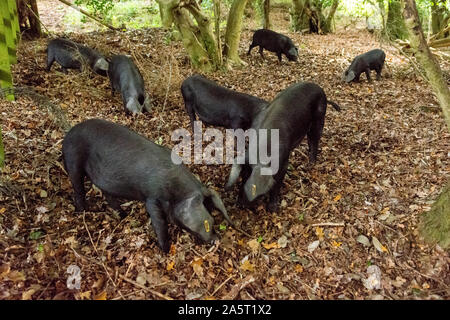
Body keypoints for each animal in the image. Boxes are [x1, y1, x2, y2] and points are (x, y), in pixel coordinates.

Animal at [63, 119, 236, 254]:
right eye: (205, 222)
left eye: (212, 220)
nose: (216, 240)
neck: (176, 191)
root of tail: (68, 133)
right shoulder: (151, 197)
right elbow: (159, 222)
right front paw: (165, 251)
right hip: (73, 162)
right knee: (78, 189)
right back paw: (83, 212)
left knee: (107, 194)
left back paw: (123, 215)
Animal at [227, 82, 340, 212]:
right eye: (243, 176)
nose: (240, 204)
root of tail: (320, 88)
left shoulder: (284, 162)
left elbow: (277, 184)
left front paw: (272, 208)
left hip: (319, 117)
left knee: (314, 140)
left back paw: (310, 164)